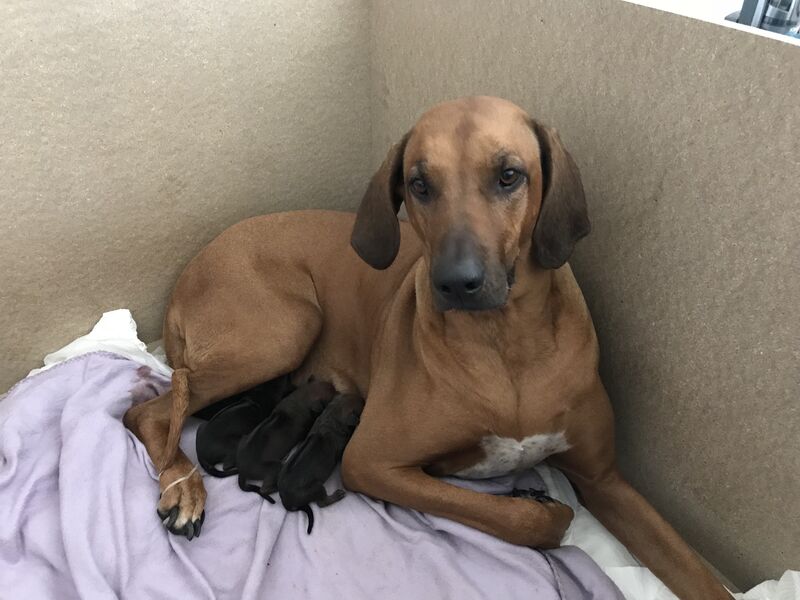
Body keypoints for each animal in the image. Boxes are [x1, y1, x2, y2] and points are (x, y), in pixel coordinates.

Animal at [277, 393, 365, 534]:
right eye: (361, 403)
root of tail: (285, 500)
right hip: (316, 487)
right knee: (321, 503)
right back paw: (337, 495)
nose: (363, 398)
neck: (331, 416)